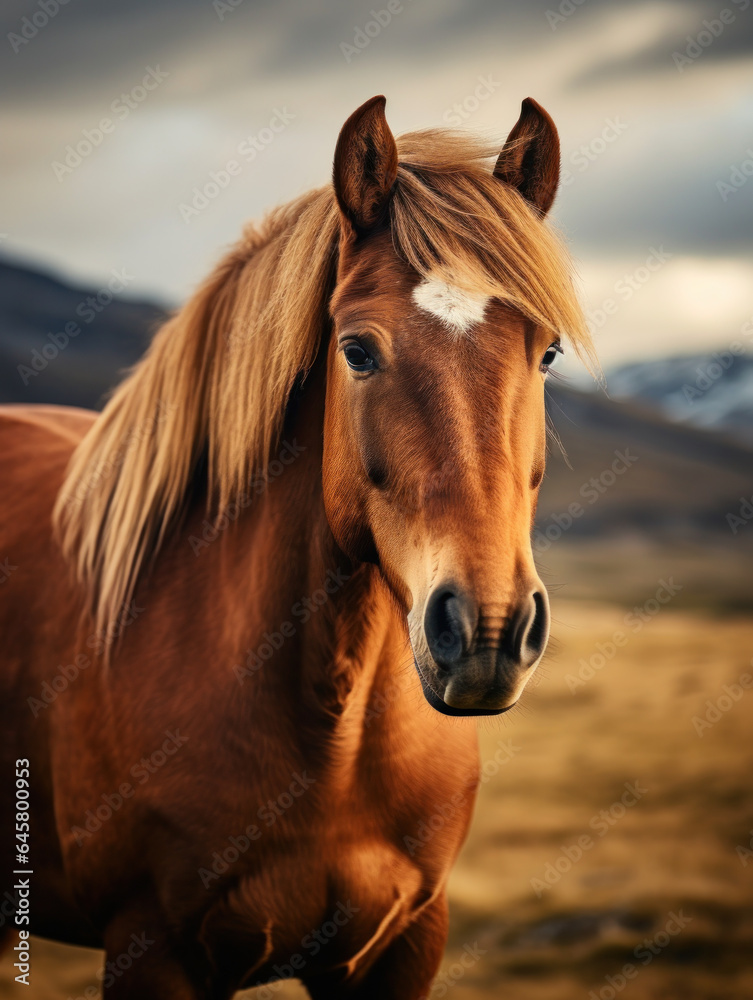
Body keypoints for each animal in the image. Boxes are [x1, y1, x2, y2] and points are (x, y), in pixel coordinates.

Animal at [0, 95, 593, 998]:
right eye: (357, 350)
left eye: (548, 352)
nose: (487, 631)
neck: (331, 737)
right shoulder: (150, 949)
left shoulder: (403, 944)